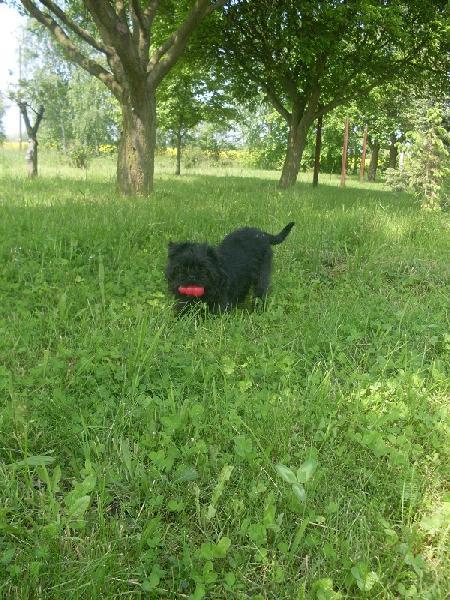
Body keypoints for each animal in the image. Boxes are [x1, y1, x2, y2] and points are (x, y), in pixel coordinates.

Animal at [165, 222, 294, 312]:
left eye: (203, 269)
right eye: (181, 267)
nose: (191, 275)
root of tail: (262, 234)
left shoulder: (220, 303)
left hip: (262, 274)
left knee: (260, 291)